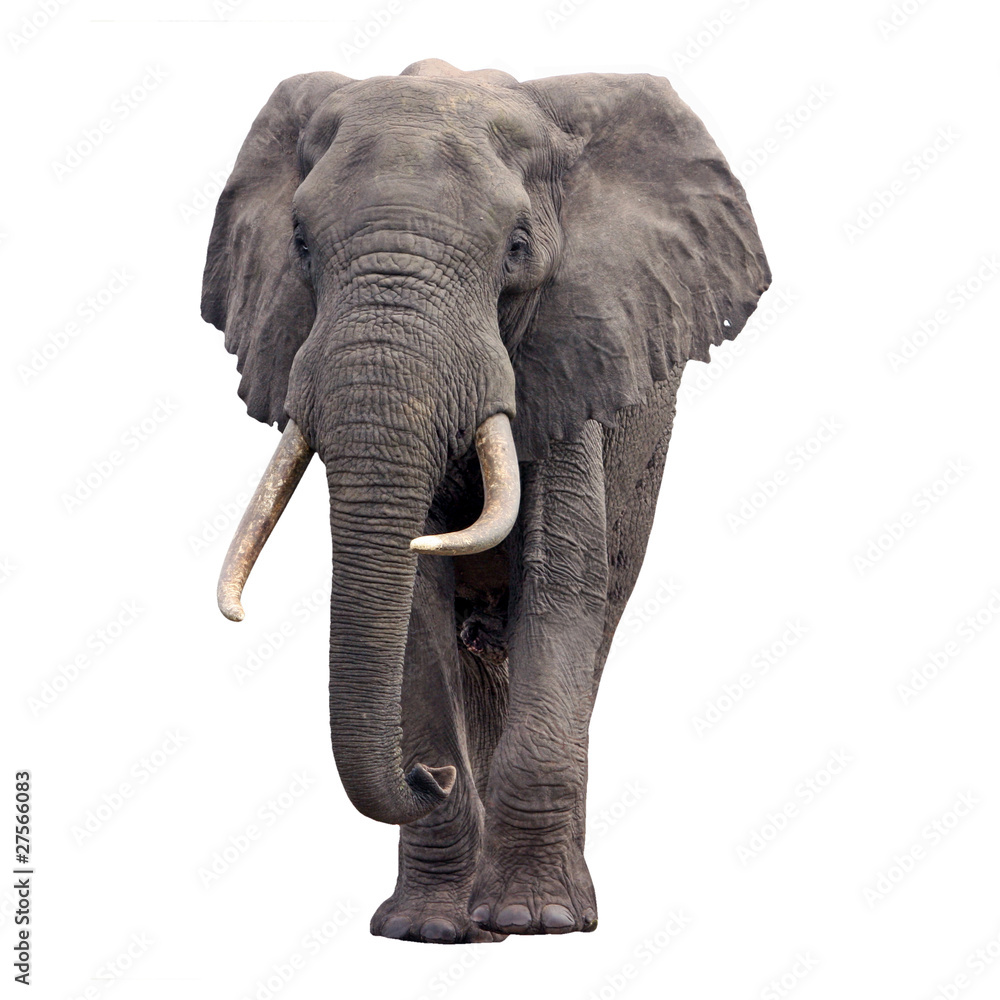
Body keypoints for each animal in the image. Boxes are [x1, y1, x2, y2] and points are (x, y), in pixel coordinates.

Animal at [202, 58, 769, 944]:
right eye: (298, 244)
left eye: (517, 248)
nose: (425, 776)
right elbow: (415, 611)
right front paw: (430, 929)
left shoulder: (571, 354)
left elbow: (561, 584)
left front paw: (541, 919)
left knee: (597, 617)